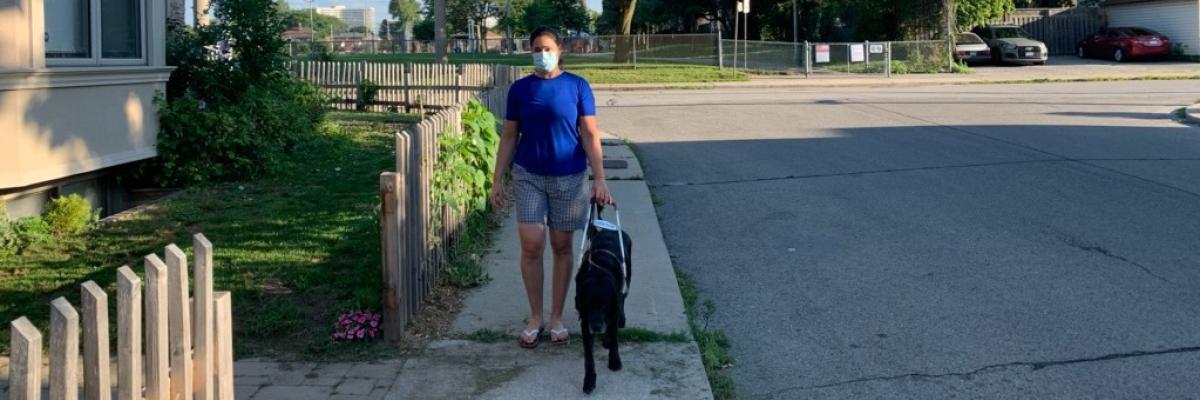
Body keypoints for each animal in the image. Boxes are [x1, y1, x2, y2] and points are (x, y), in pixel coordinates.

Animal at [573, 203, 633, 391]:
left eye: (604, 305)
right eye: (588, 305)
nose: (597, 327)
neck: (598, 274)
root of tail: (606, 228)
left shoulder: (611, 307)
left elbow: (614, 337)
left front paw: (614, 360)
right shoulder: (585, 320)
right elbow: (588, 356)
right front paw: (589, 379)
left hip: (627, 277)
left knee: (623, 299)